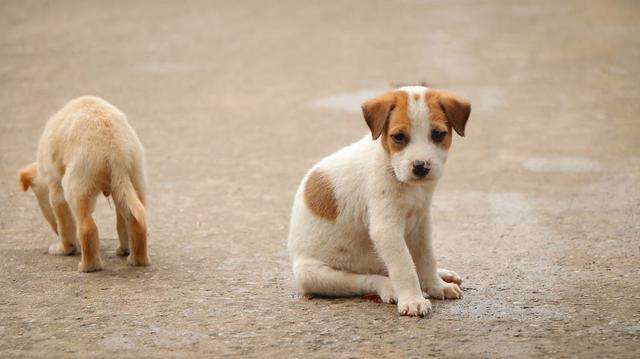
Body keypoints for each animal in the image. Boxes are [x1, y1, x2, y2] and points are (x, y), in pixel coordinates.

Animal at [18, 95, 149, 272]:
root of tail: (114, 150)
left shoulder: (55, 185)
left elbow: (64, 220)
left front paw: (64, 249)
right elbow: (121, 221)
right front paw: (124, 249)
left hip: (77, 181)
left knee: (87, 226)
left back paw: (88, 266)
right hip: (133, 176)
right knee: (134, 218)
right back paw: (135, 259)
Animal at [290, 86, 470, 318]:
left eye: (438, 134)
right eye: (398, 137)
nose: (420, 166)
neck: (391, 166)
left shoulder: (421, 223)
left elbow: (426, 258)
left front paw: (436, 285)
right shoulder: (386, 229)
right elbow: (404, 268)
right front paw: (413, 300)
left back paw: (443, 274)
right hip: (315, 275)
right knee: (369, 279)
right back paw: (390, 288)